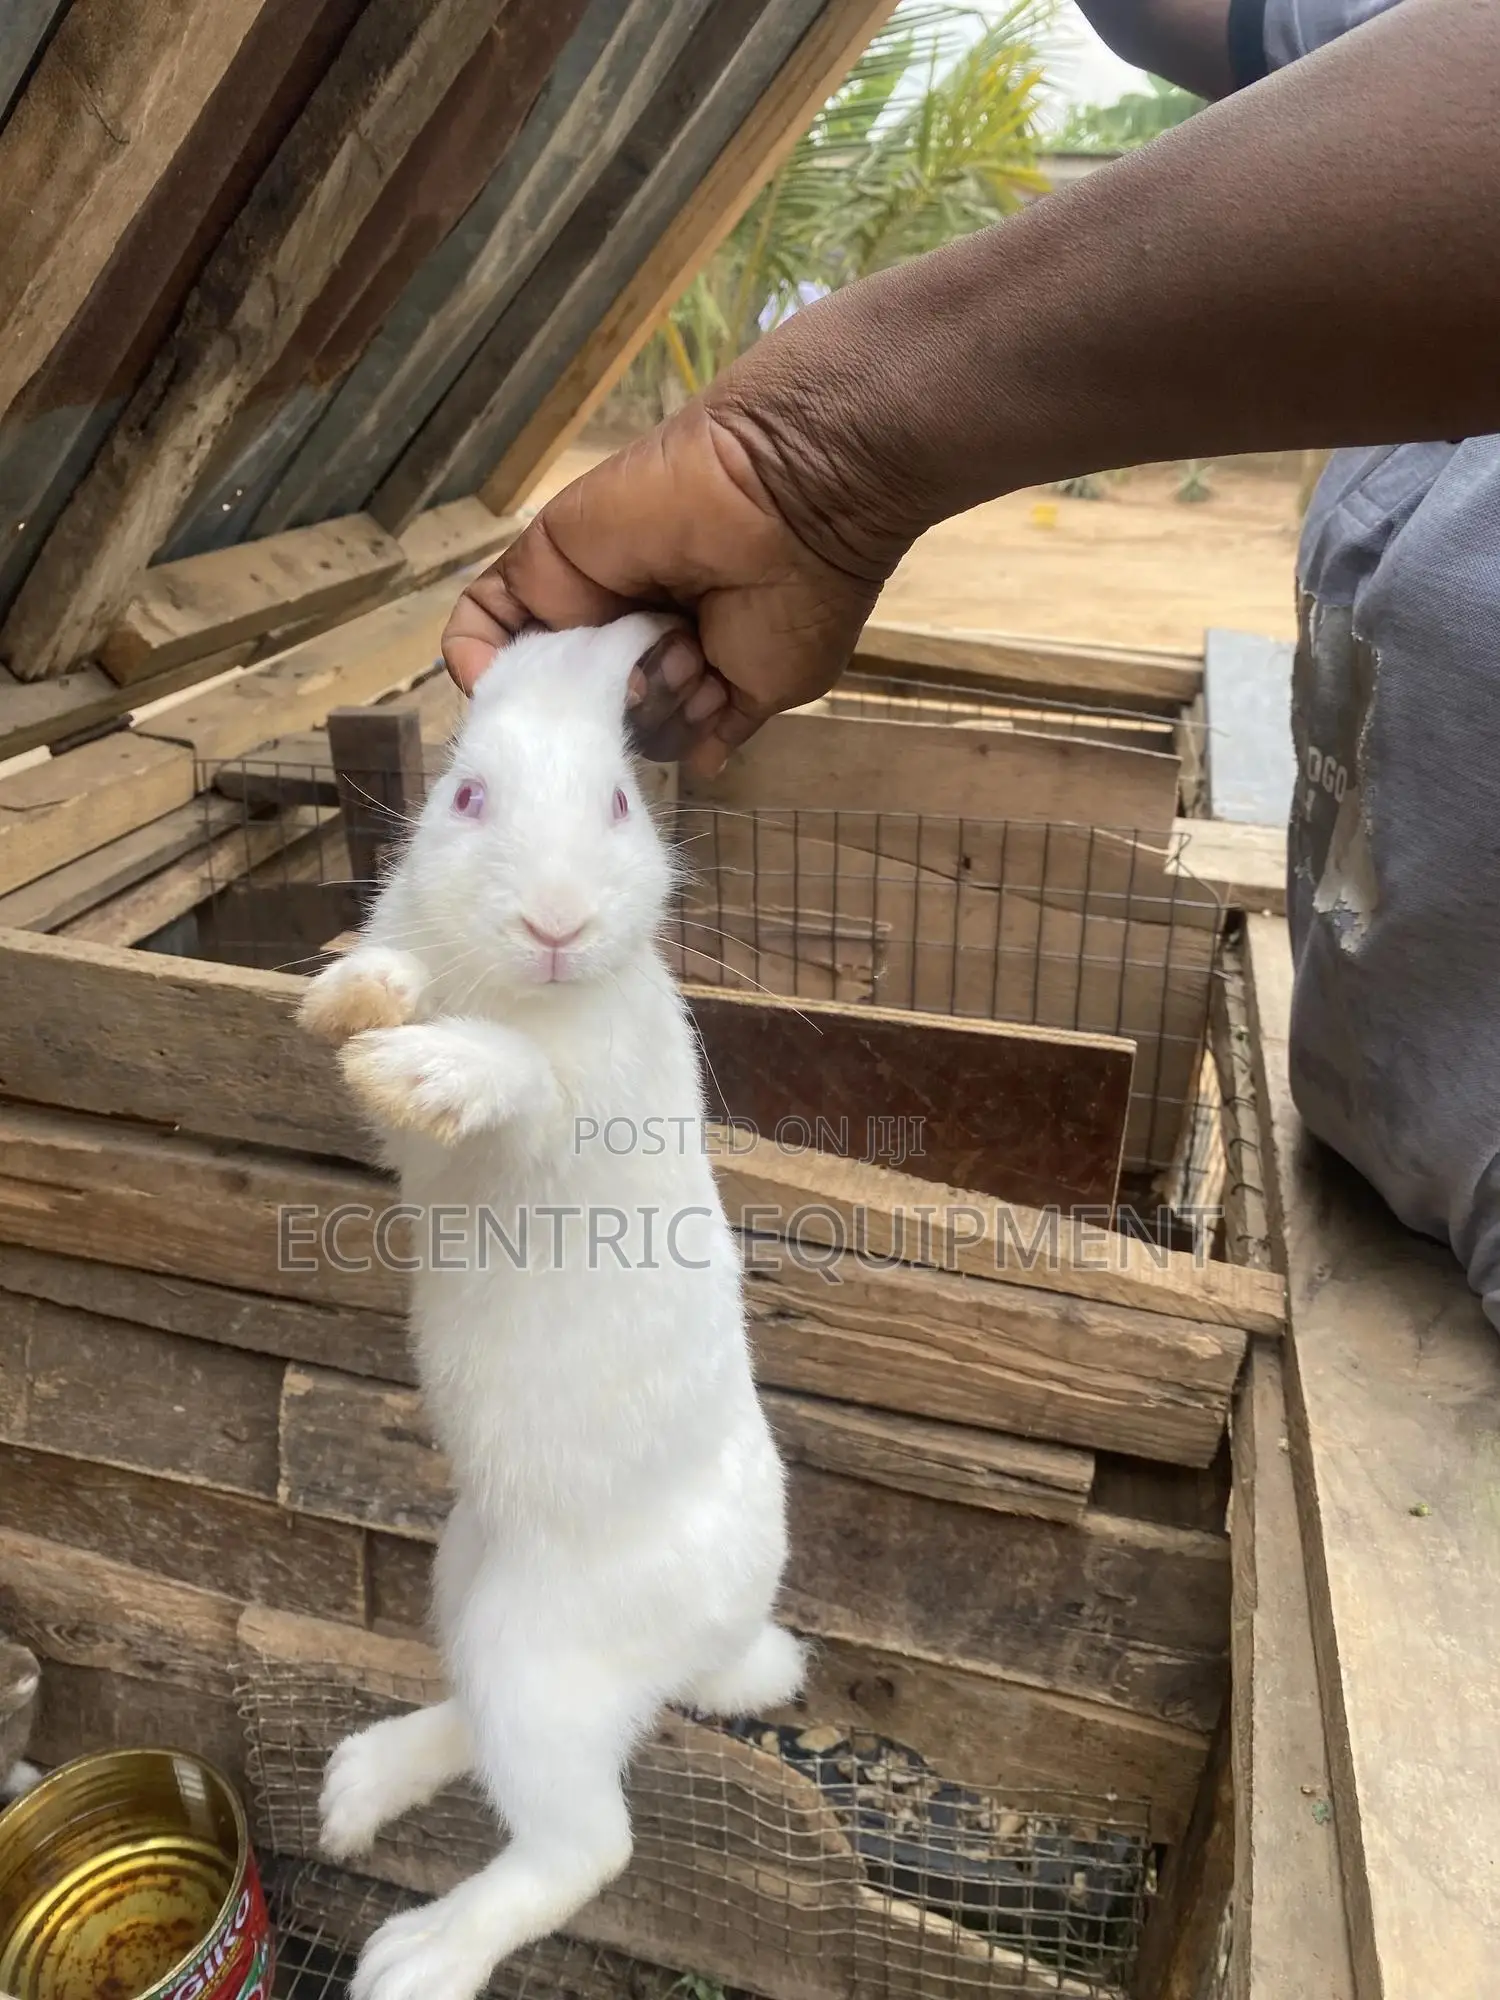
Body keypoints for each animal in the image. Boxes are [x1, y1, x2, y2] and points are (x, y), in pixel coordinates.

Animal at [299, 613, 803, 2000]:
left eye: (622, 802)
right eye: (467, 797)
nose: (558, 922)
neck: (522, 990)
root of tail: (728, 1626)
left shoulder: (573, 1110)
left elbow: (519, 1081)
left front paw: (431, 1064)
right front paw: (357, 997)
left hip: (543, 1664)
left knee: (585, 1846)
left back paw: (412, 1958)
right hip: (461, 1573)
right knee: (476, 1728)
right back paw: (355, 1787)